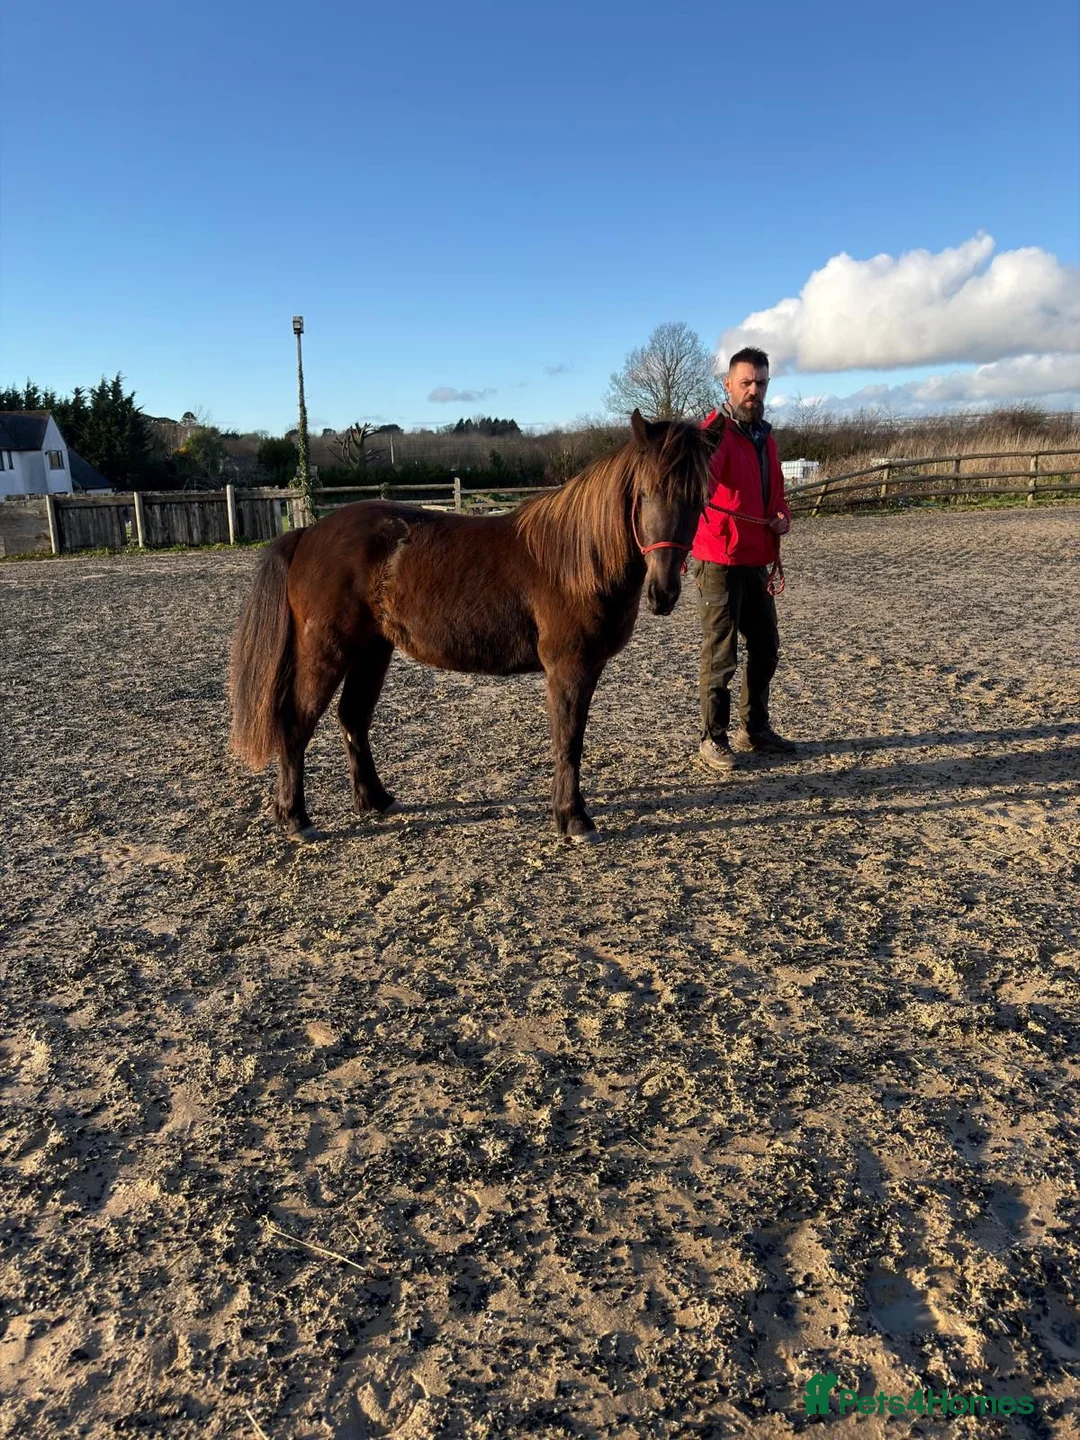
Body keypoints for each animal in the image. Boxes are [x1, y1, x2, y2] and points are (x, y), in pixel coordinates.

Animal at [228, 409, 726, 842]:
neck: (577, 559)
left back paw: (377, 800)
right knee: (296, 722)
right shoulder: (569, 667)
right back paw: (296, 817)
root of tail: (306, 534)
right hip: (326, 650)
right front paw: (573, 818)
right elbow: (568, 740)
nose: (664, 592)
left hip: (372, 650)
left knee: (353, 717)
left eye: (700, 497)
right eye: (645, 492)